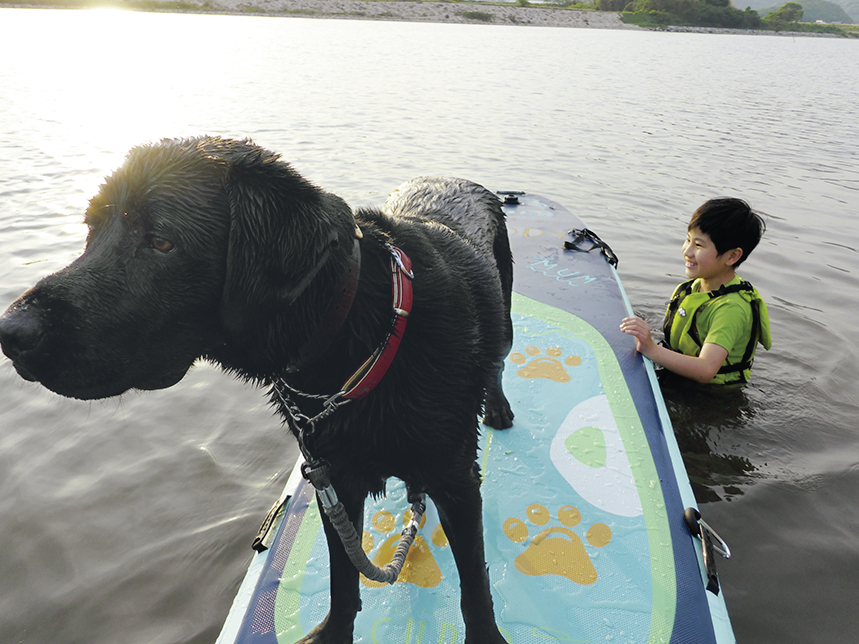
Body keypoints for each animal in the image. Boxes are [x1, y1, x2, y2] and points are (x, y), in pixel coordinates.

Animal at [0, 137, 510, 644]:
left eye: (162, 241)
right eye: (92, 229)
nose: (11, 332)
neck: (360, 335)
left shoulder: (458, 480)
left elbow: (474, 585)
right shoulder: (333, 480)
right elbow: (343, 576)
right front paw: (333, 633)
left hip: (502, 320)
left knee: (499, 364)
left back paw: (499, 409)